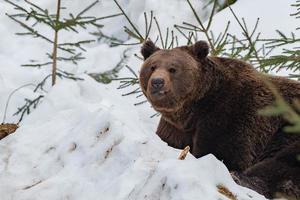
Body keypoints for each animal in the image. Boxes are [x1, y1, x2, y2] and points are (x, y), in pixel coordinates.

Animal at [139, 39, 300, 198]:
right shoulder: (175, 127)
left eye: (173, 69)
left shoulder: (228, 115)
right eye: (152, 67)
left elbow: (221, 152)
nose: (157, 82)